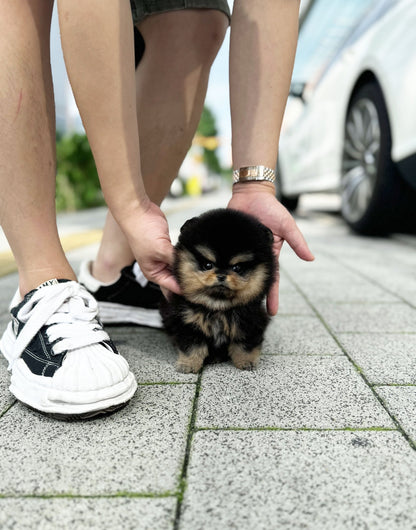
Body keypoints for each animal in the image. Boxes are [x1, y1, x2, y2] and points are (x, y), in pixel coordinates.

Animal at [160, 207, 276, 372]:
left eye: (237, 268)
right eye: (208, 265)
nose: (221, 275)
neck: (218, 307)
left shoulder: (249, 322)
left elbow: (244, 345)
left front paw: (246, 362)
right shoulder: (187, 322)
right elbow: (192, 347)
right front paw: (188, 365)